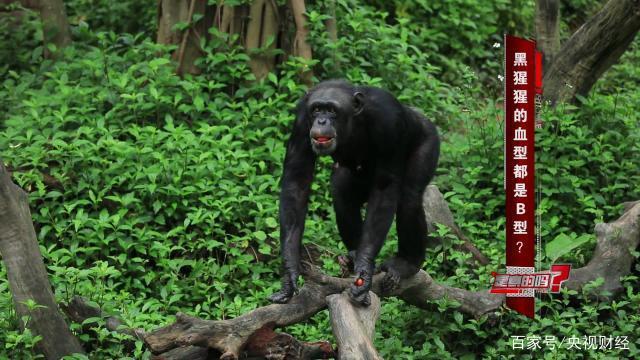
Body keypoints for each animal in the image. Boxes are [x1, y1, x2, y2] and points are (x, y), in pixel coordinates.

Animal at [268, 79, 440, 306]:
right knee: (342, 191)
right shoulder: (301, 120)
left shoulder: (390, 120)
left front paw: (364, 269)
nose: (321, 120)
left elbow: (385, 188)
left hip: (429, 141)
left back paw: (407, 263)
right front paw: (289, 271)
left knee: (409, 198)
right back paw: (354, 254)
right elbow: (296, 182)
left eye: (332, 110)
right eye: (316, 109)